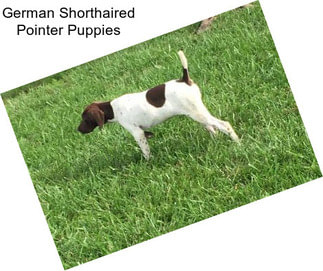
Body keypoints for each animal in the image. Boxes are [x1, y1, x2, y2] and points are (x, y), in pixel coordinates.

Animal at [78, 50, 240, 159]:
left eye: (85, 119)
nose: (78, 130)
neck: (113, 108)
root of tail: (184, 78)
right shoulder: (142, 132)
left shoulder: (137, 133)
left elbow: (145, 151)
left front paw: (147, 164)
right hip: (197, 113)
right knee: (212, 128)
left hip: (197, 113)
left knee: (223, 125)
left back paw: (237, 143)